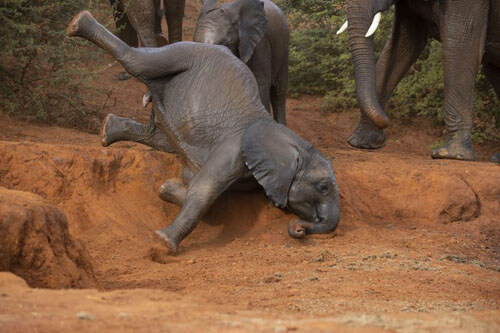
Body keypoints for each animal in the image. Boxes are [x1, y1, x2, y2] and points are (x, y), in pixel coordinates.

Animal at [66, 11, 340, 252]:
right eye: (323, 188)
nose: (299, 229)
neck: (292, 142)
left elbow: (197, 185)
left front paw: (167, 187)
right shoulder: (232, 152)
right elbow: (204, 191)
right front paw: (162, 244)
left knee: (161, 137)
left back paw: (107, 129)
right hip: (185, 52)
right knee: (137, 61)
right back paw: (77, 23)